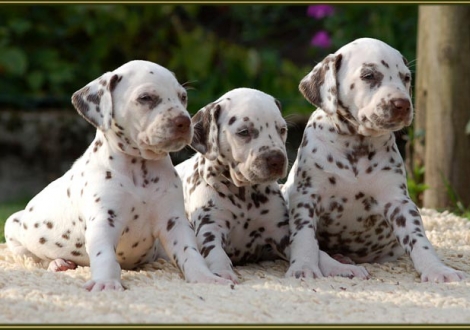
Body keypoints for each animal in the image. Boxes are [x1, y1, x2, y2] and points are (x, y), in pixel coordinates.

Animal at [3, 60, 231, 292]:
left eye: (182, 97)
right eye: (146, 98)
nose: (184, 122)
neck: (140, 170)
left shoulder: (174, 221)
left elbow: (189, 252)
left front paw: (204, 277)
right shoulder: (104, 220)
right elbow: (104, 256)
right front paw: (106, 283)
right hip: (12, 225)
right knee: (34, 258)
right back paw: (58, 263)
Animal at [176, 88, 292, 284]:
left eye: (282, 130)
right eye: (244, 132)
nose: (277, 159)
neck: (244, 194)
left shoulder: (280, 230)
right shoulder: (210, 229)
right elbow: (216, 253)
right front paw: (223, 272)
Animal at [282, 37, 466, 282]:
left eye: (406, 78)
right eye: (369, 75)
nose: (403, 104)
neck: (357, 145)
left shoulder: (399, 203)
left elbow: (419, 240)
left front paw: (437, 270)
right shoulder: (305, 197)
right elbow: (304, 237)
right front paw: (303, 267)